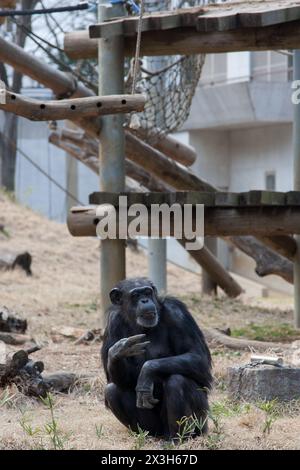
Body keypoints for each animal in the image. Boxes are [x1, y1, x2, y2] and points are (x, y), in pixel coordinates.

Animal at [102, 278, 212, 438]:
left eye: (147, 292)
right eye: (135, 295)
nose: (145, 300)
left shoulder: (177, 313)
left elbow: (197, 356)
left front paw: (147, 371)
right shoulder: (113, 324)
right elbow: (113, 379)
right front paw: (117, 351)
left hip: (202, 421)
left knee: (177, 381)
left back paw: (178, 438)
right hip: (153, 427)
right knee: (112, 390)